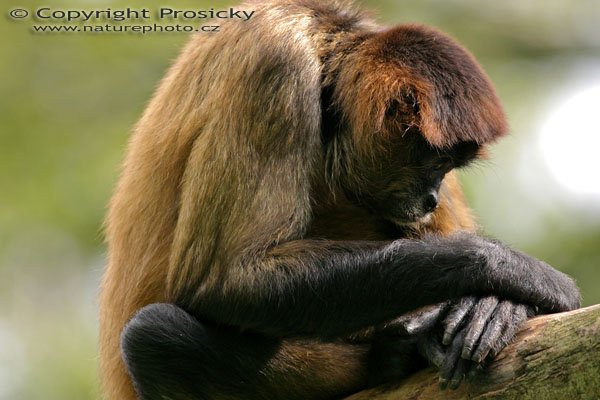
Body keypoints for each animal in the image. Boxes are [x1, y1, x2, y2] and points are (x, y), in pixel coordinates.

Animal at [99, 0, 580, 400]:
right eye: (438, 161)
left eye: (449, 167)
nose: (430, 198)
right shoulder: (276, 63)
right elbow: (226, 279)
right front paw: (517, 272)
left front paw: (496, 304)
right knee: (154, 336)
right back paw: (390, 357)